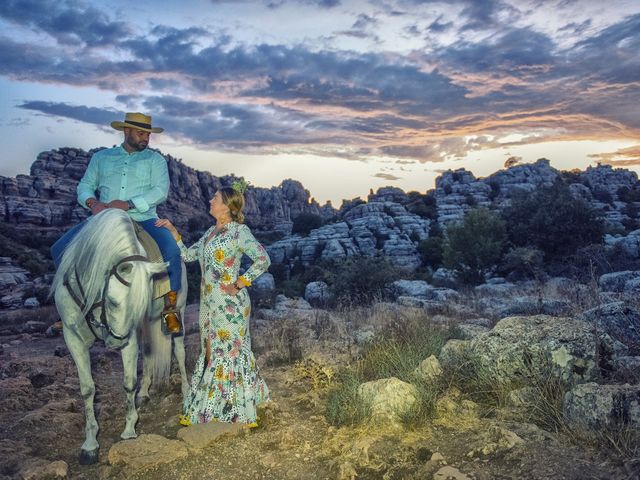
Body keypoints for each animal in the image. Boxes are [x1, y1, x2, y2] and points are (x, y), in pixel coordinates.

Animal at [52, 210, 188, 464]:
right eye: (114, 302)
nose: (116, 342)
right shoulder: (72, 337)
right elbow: (87, 388)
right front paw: (90, 444)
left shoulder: (130, 335)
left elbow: (128, 381)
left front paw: (129, 429)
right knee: (149, 354)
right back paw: (144, 393)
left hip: (178, 314)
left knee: (180, 353)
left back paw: (186, 389)